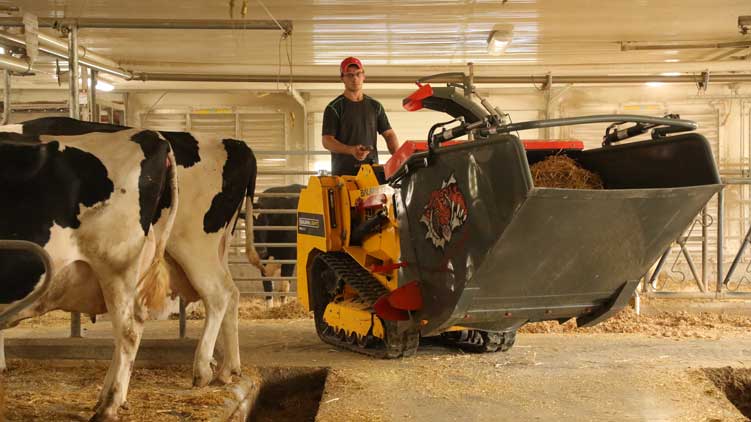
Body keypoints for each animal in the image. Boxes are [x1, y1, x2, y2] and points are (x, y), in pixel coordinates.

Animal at [0, 127, 178, 420]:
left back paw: (109, 407)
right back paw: (107, 398)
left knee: (128, 333)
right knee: (130, 328)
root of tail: (151, 135)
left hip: (116, 269)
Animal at [2, 116, 262, 390]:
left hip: (193, 246)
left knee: (218, 294)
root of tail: (236, 144)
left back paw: (202, 370)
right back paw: (228, 369)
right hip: (216, 248)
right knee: (232, 293)